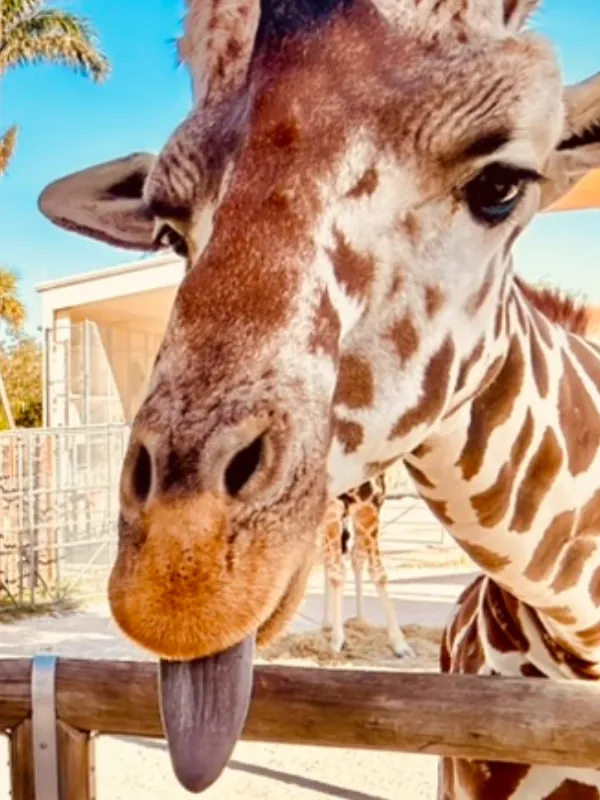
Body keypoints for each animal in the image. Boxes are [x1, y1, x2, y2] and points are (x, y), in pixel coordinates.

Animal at [321, 474, 414, 656]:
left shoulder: (371, 502)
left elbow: (378, 573)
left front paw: (400, 644)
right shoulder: (331, 505)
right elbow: (336, 574)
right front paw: (337, 641)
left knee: (354, 555)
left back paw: (358, 621)